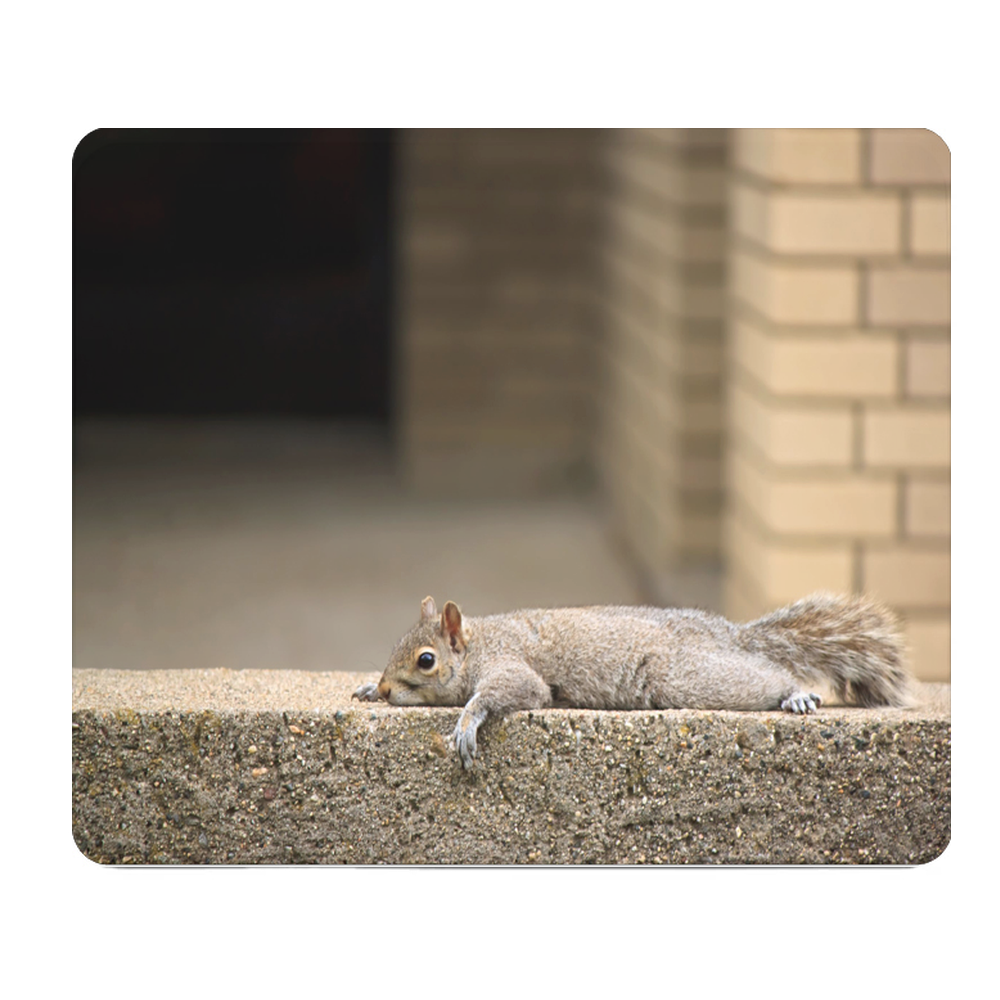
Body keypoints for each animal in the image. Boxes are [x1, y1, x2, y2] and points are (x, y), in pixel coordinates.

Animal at [353, 592, 911, 769]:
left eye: (426, 660)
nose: (387, 689)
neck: (480, 643)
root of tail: (728, 635)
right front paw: (365, 688)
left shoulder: (513, 666)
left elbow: (515, 692)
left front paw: (468, 720)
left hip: (686, 677)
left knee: (763, 675)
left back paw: (794, 694)